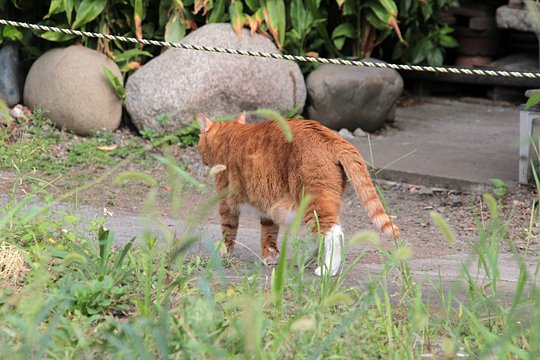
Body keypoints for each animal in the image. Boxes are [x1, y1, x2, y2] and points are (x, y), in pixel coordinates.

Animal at [196, 112, 398, 276]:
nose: (201, 158)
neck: (230, 134)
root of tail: (333, 137)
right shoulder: (267, 207)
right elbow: (268, 235)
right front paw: (271, 258)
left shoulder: (227, 202)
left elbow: (228, 231)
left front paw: (224, 254)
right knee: (319, 235)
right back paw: (304, 259)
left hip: (312, 201)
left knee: (334, 233)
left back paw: (327, 270)